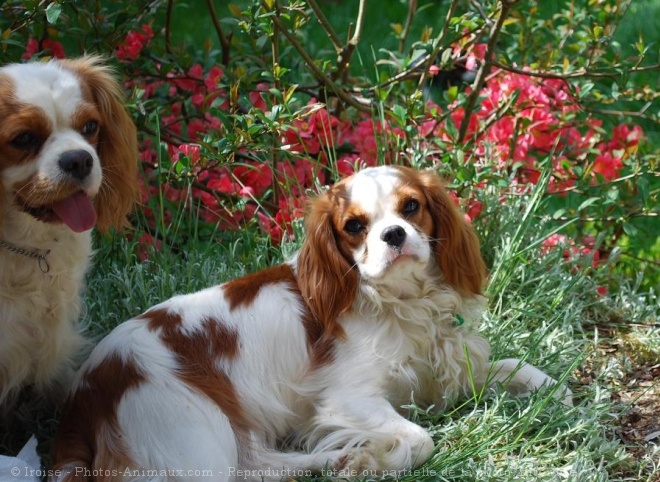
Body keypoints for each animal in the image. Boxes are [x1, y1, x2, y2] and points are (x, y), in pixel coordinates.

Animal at [51, 167, 568, 482]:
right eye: (354, 226)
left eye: (411, 207)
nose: (394, 234)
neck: (400, 302)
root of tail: (86, 390)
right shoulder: (347, 398)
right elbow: (423, 438)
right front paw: (377, 458)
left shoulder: (441, 372)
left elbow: (516, 367)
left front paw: (554, 392)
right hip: (195, 432)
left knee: (258, 465)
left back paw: (332, 458)